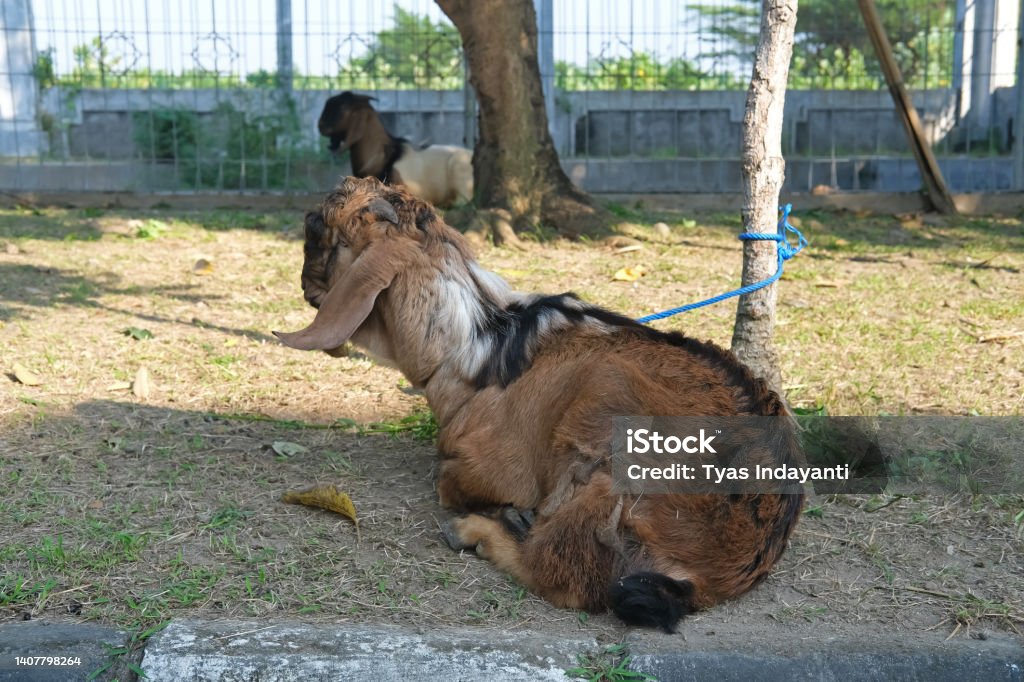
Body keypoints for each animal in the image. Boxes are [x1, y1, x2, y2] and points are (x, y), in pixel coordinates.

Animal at [275, 177, 804, 632]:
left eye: (317, 229)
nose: (304, 288)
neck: (479, 345)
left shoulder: (490, 466)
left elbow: (447, 479)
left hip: (607, 446)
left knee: (563, 575)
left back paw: (479, 530)